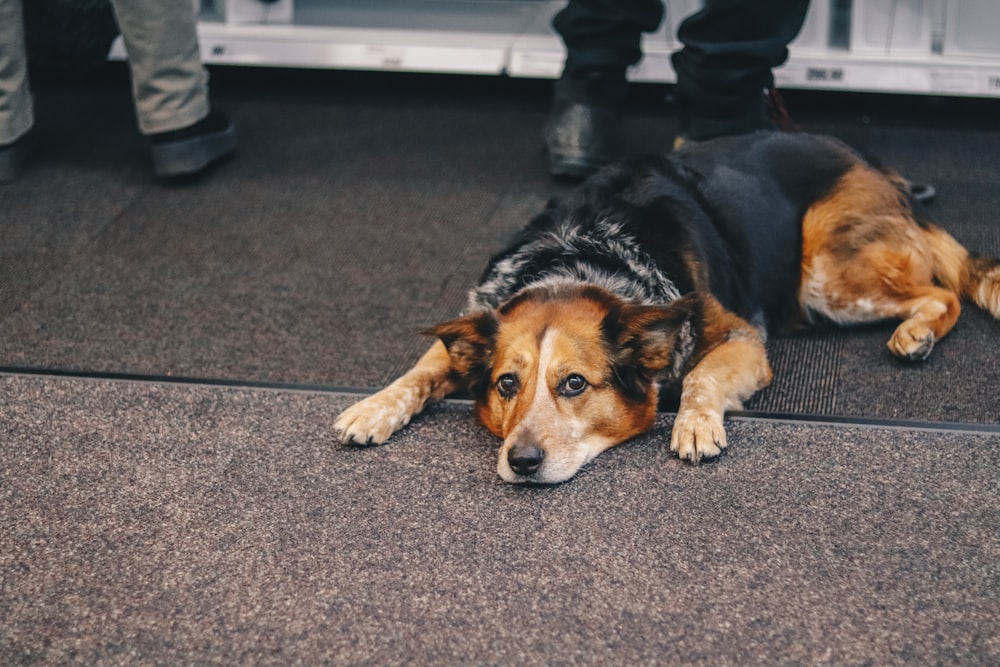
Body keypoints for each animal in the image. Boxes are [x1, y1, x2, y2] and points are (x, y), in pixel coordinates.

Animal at [336, 132, 1000, 486]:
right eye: (505, 384)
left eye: (574, 384)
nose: (521, 462)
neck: (583, 256)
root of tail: (872, 163)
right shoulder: (476, 315)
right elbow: (421, 370)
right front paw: (372, 408)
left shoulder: (740, 337)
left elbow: (702, 375)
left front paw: (695, 422)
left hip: (826, 274)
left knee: (942, 292)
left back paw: (915, 334)